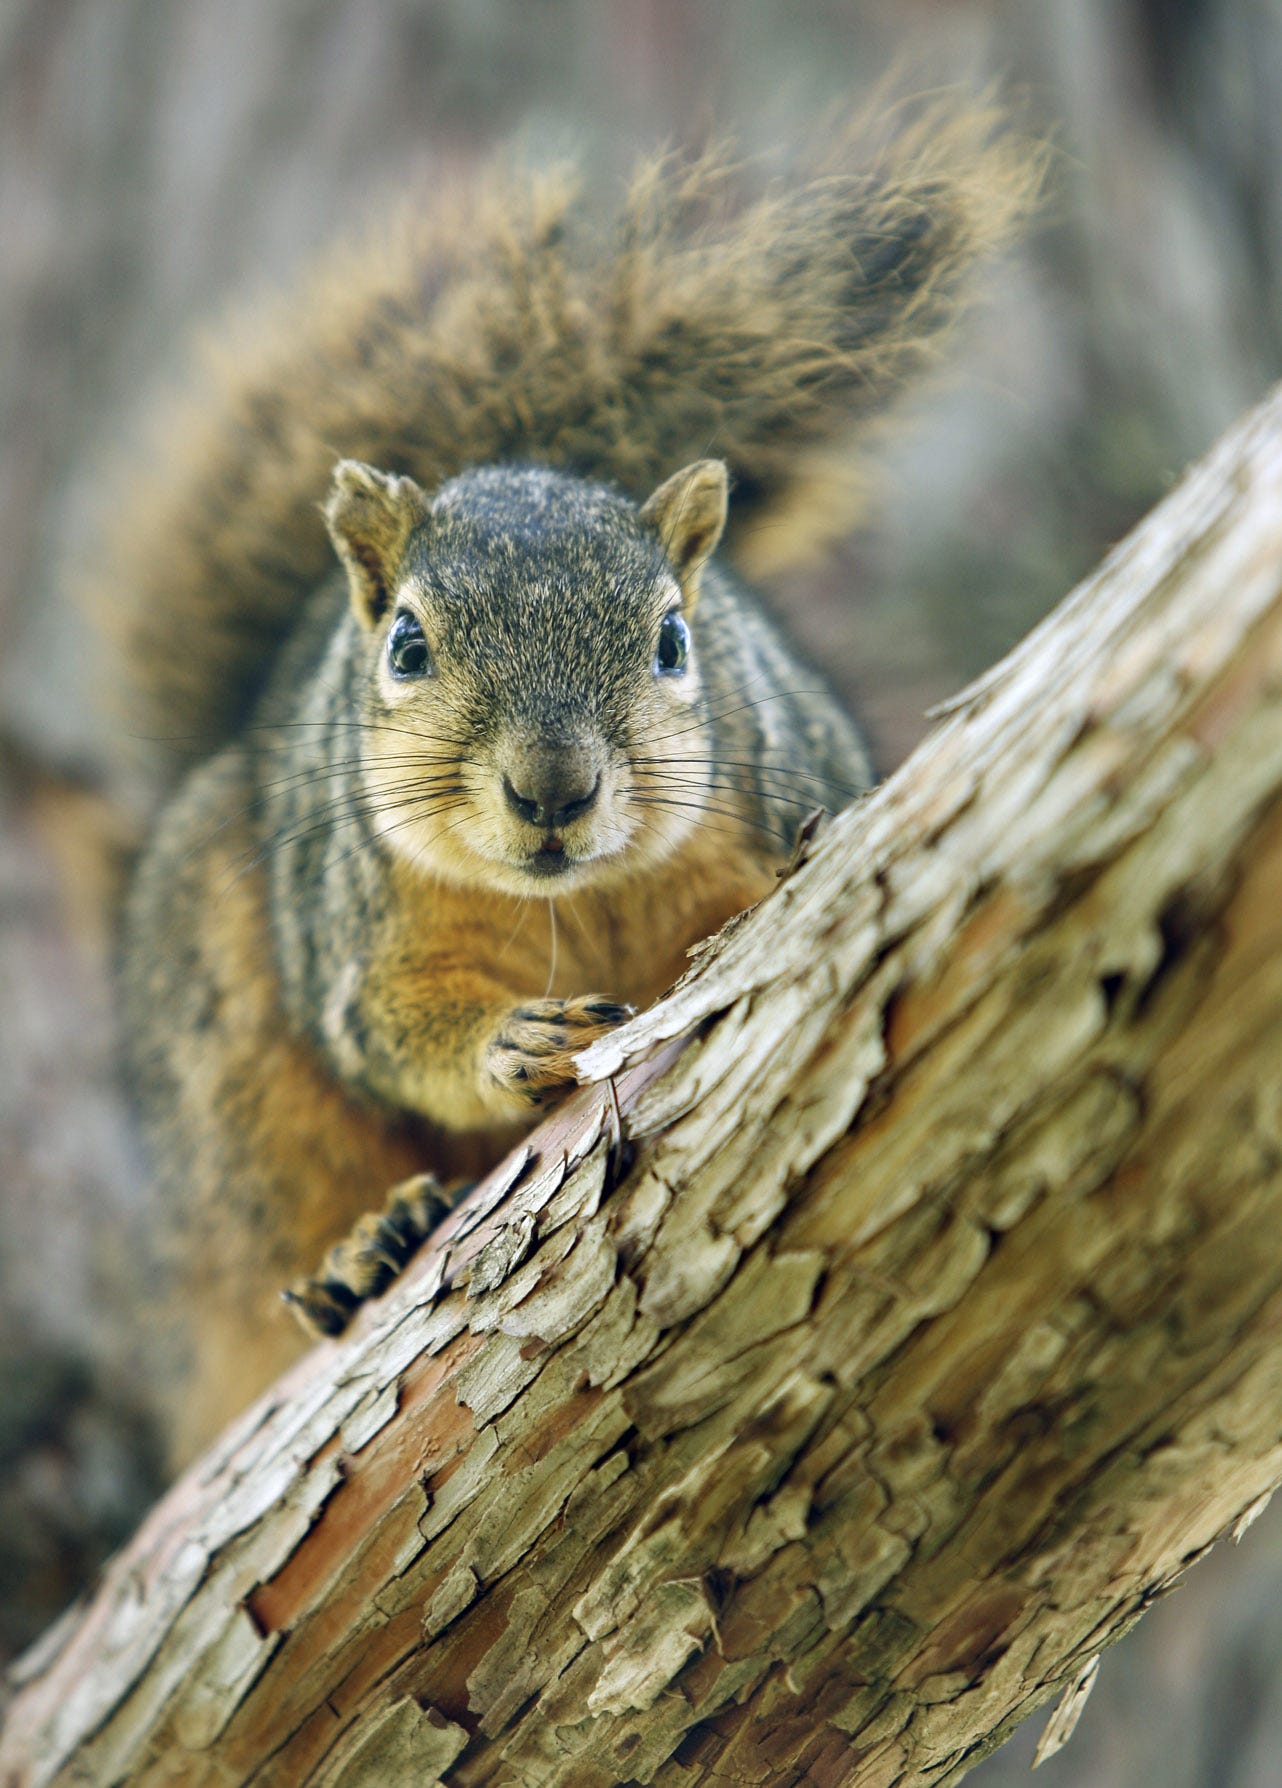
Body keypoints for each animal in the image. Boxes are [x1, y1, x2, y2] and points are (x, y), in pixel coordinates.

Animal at [93, 105, 1038, 1467]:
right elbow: (391, 1031)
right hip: (230, 1073)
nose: (552, 789)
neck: (572, 902)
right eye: (407, 646)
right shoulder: (359, 934)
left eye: (675, 639)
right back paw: (359, 1253)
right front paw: (513, 1040)